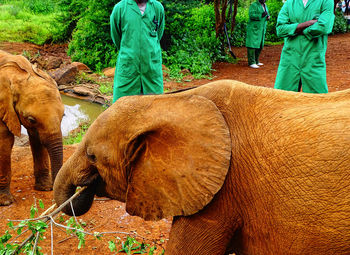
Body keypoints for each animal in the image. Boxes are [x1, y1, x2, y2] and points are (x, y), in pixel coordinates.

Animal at [0, 50, 64, 206]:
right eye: (31, 119)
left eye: (63, 116)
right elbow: (5, 140)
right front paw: (6, 202)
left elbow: (36, 139)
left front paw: (45, 188)